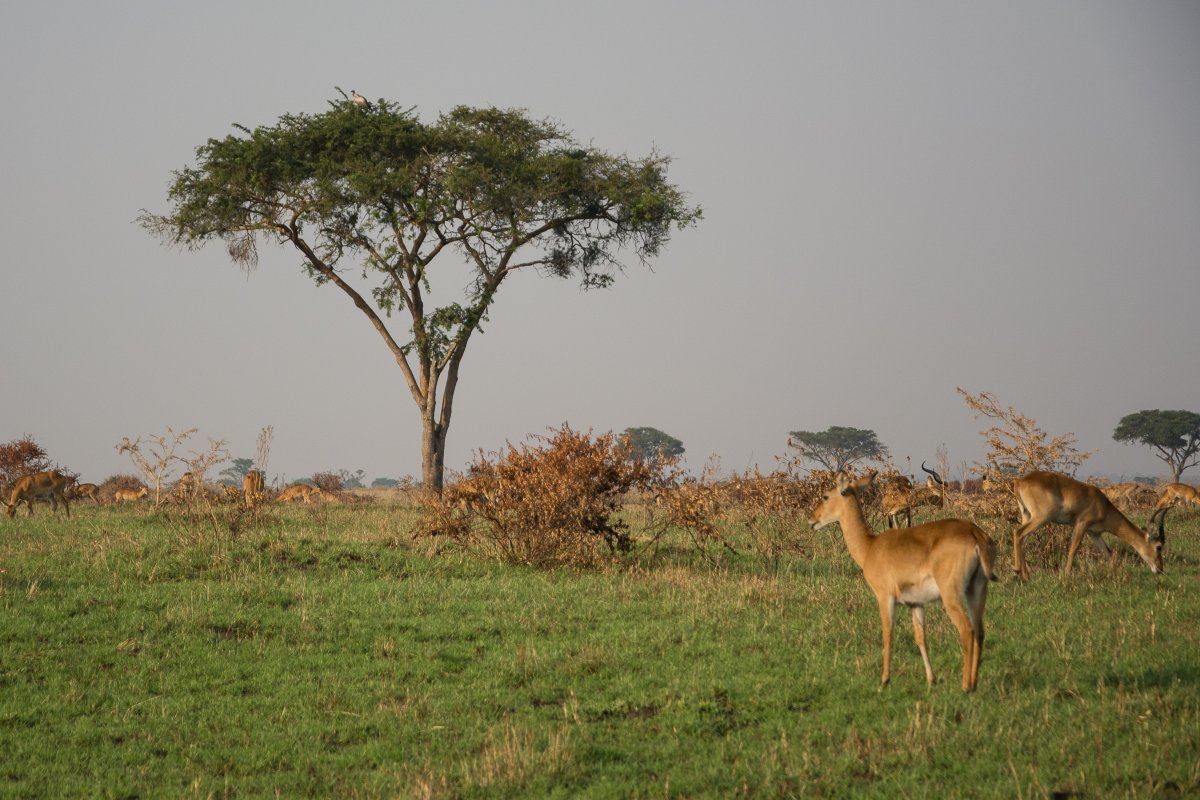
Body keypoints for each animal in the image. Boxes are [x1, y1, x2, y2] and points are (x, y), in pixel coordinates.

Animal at [811, 472, 998, 690]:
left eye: (826, 496)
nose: (812, 519)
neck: (870, 546)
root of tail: (976, 536)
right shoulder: (915, 603)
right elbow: (920, 637)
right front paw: (931, 679)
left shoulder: (885, 597)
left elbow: (887, 633)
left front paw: (884, 680)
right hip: (976, 591)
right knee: (980, 631)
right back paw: (974, 683)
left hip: (951, 596)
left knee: (967, 630)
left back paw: (965, 686)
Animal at [1008, 472, 1166, 578]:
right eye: (1158, 547)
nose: (1160, 569)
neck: (1103, 505)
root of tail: (1020, 481)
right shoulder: (1081, 524)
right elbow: (1073, 548)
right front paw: (1066, 575)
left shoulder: (1093, 533)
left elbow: (1108, 553)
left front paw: (1116, 573)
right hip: (1041, 518)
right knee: (1018, 533)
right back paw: (1016, 573)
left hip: (1027, 516)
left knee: (1022, 540)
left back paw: (1026, 576)